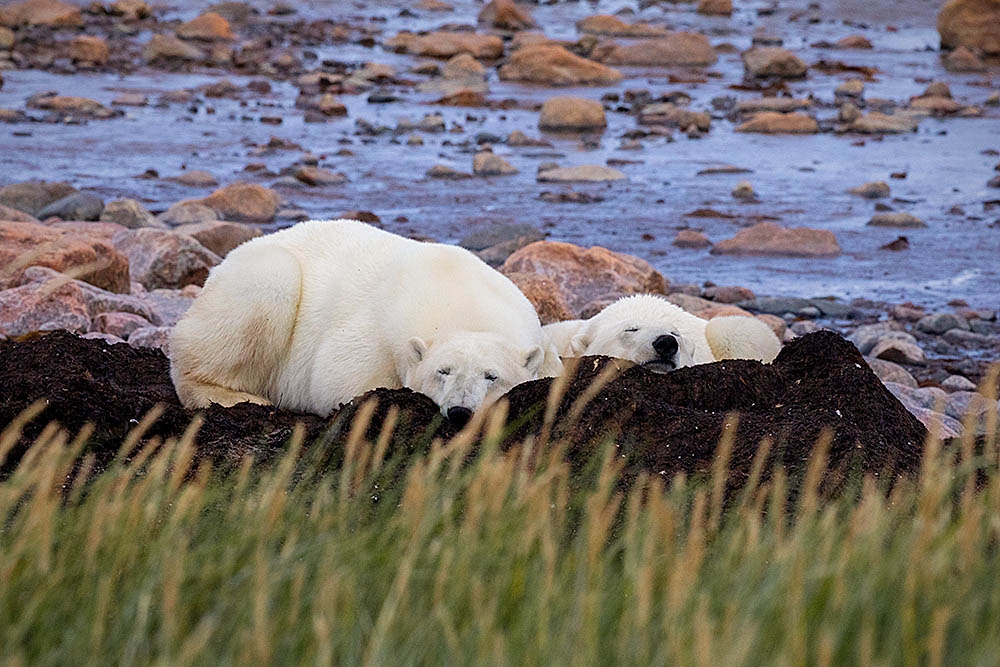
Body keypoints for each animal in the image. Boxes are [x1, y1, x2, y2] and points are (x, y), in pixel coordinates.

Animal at [168, 219, 560, 428]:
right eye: (443, 371)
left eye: (492, 376)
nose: (461, 411)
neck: (459, 296)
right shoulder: (375, 331)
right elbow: (341, 379)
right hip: (257, 279)